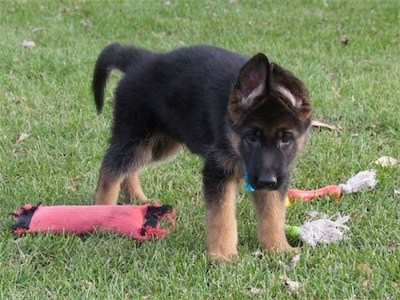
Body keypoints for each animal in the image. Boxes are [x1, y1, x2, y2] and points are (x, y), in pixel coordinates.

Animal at [92, 43, 310, 262]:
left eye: (286, 138)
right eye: (251, 137)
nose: (267, 181)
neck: (230, 128)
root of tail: (141, 60)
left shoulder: (275, 175)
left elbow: (273, 213)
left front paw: (278, 247)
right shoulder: (218, 170)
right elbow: (222, 215)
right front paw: (222, 254)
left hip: (159, 144)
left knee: (129, 166)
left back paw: (136, 198)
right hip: (137, 136)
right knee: (111, 169)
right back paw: (102, 211)